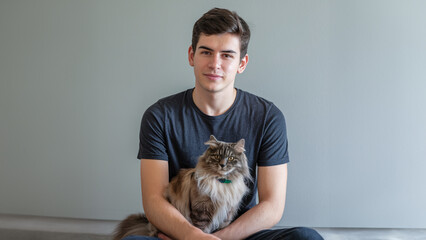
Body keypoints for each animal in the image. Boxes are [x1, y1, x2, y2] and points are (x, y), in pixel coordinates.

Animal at [113, 136, 253, 239]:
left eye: (231, 158)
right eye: (217, 156)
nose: (222, 165)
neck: (221, 182)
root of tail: (148, 225)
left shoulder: (227, 214)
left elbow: (222, 231)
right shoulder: (201, 210)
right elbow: (201, 231)